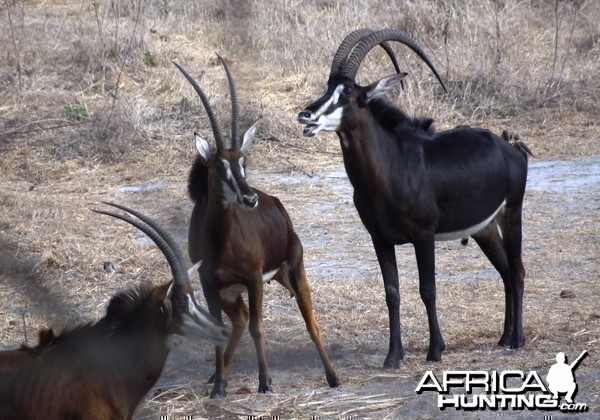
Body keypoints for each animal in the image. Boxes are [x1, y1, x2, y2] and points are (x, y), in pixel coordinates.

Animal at [172, 55, 342, 398]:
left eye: (244, 161)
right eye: (219, 165)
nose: (249, 198)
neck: (221, 240)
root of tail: (276, 204)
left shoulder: (253, 280)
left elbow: (258, 327)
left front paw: (265, 382)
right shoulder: (210, 286)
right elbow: (223, 327)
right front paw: (219, 386)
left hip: (293, 272)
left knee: (309, 322)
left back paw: (333, 377)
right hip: (231, 293)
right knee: (239, 320)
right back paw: (218, 375)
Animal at [298, 27, 528, 366]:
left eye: (349, 94)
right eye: (327, 88)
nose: (306, 115)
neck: (391, 166)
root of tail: (510, 148)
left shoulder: (424, 236)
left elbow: (427, 290)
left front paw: (435, 350)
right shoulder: (379, 239)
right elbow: (391, 293)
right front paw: (393, 356)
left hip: (512, 213)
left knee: (518, 270)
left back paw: (519, 339)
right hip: (485, 229)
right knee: (506, 272)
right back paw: (504, 338)